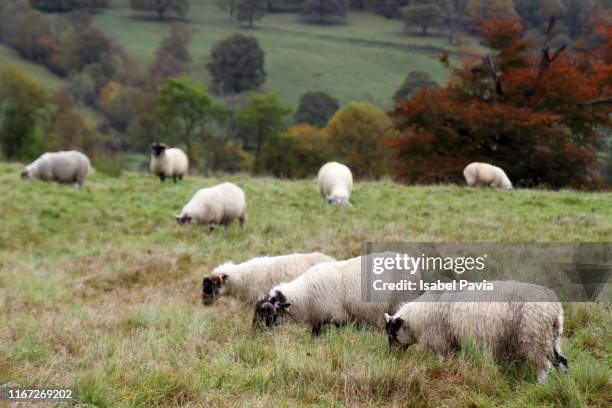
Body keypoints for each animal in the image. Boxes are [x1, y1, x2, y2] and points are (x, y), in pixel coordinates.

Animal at [384, 280, 568, 382]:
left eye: (392, 333)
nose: (391, 356)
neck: (417, 319)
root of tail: (554, 307)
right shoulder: (453, 341)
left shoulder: (441, 340)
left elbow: (442, 360)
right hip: (552, 337)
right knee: (562, 362)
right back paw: (564, 384)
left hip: (533, 337)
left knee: (545, 366)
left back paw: (539, 385)